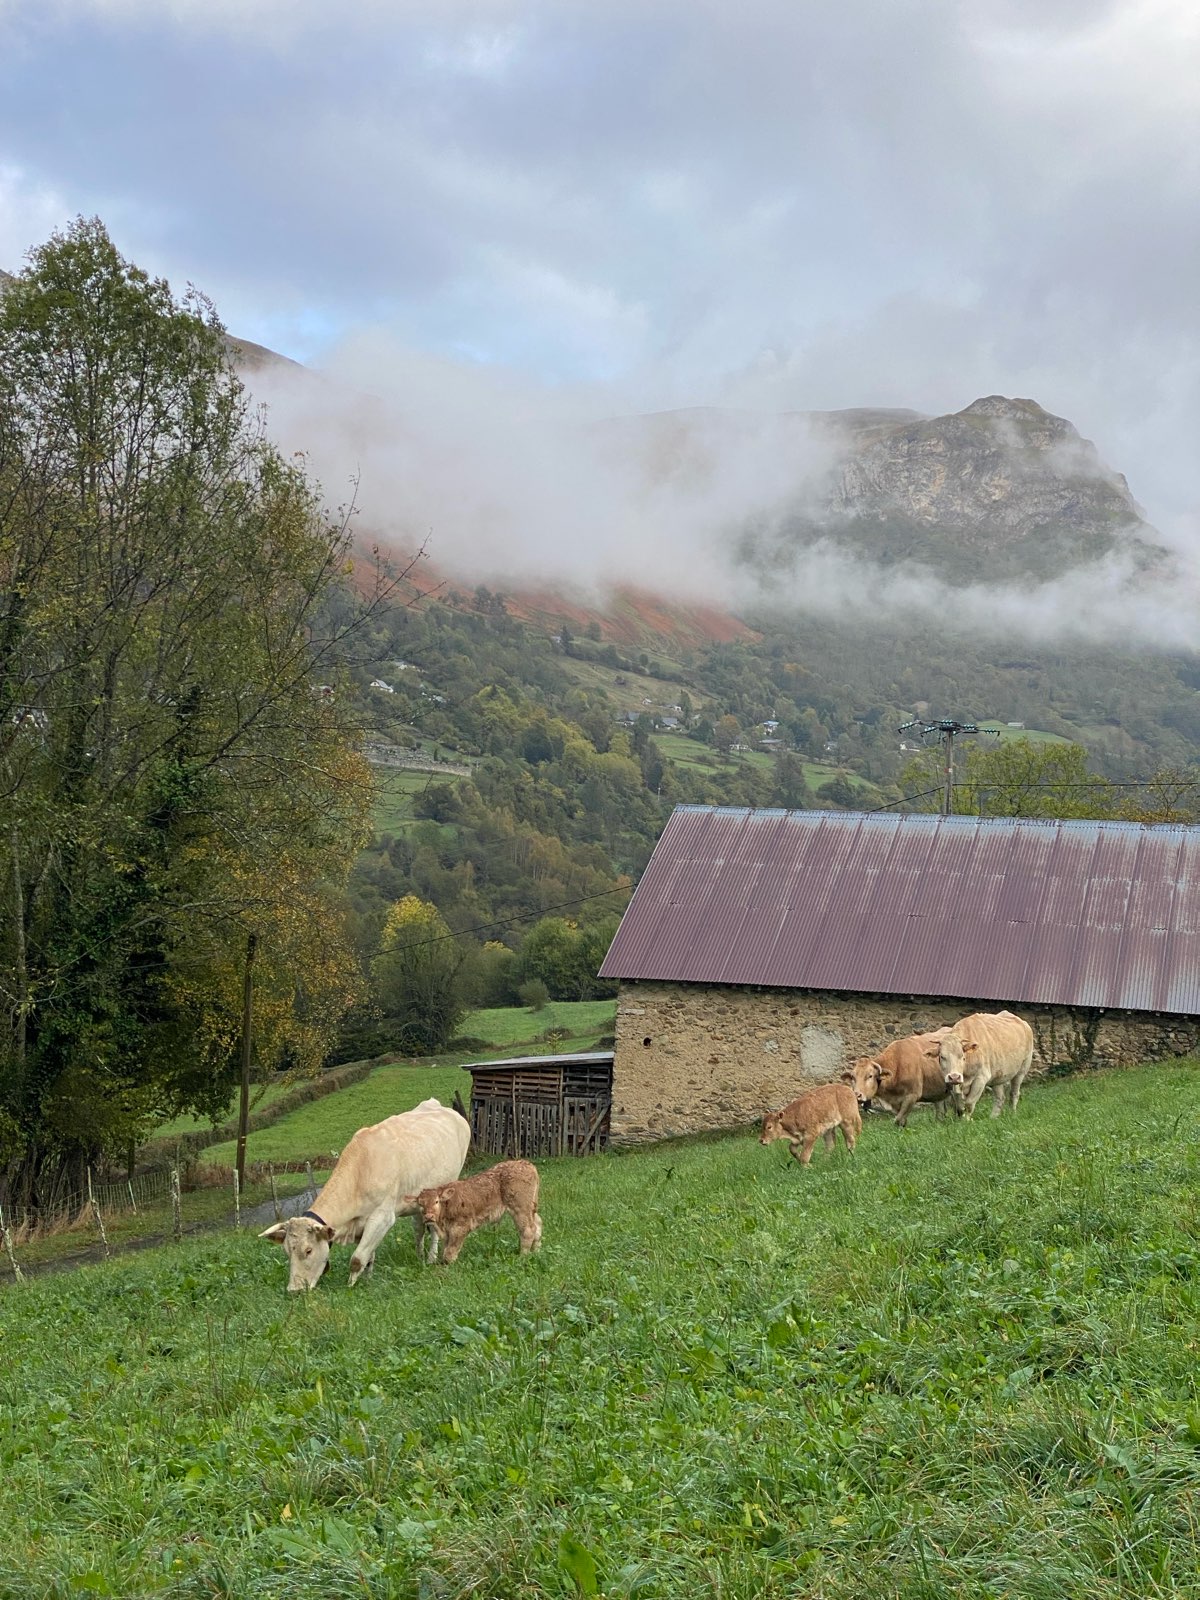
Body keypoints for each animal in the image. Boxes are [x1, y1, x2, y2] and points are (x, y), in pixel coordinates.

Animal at [260, 1097, 470, 1290]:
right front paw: (368, 1280)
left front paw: (351, 1287)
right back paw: (419, 1255)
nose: (294, 1290)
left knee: (433, 1228)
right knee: (418, 1227)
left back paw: (432, 1258)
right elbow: (369, 1256)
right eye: (287, 1251)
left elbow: (357, 1259)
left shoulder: (382, 1218)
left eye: (308, 1250)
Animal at [407, 1159, 543, 1265]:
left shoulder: (460, 1228)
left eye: (436, 1201)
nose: (429, 1216)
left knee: (528, 1230)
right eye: (420, 1204)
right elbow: (446, 1248)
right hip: (531, 1208)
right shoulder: (448, 1232)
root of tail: (526, 1164)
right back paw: (535, 1252)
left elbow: (450, 1252)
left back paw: (522, 1256)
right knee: (538, 1224)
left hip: (520, 1208)